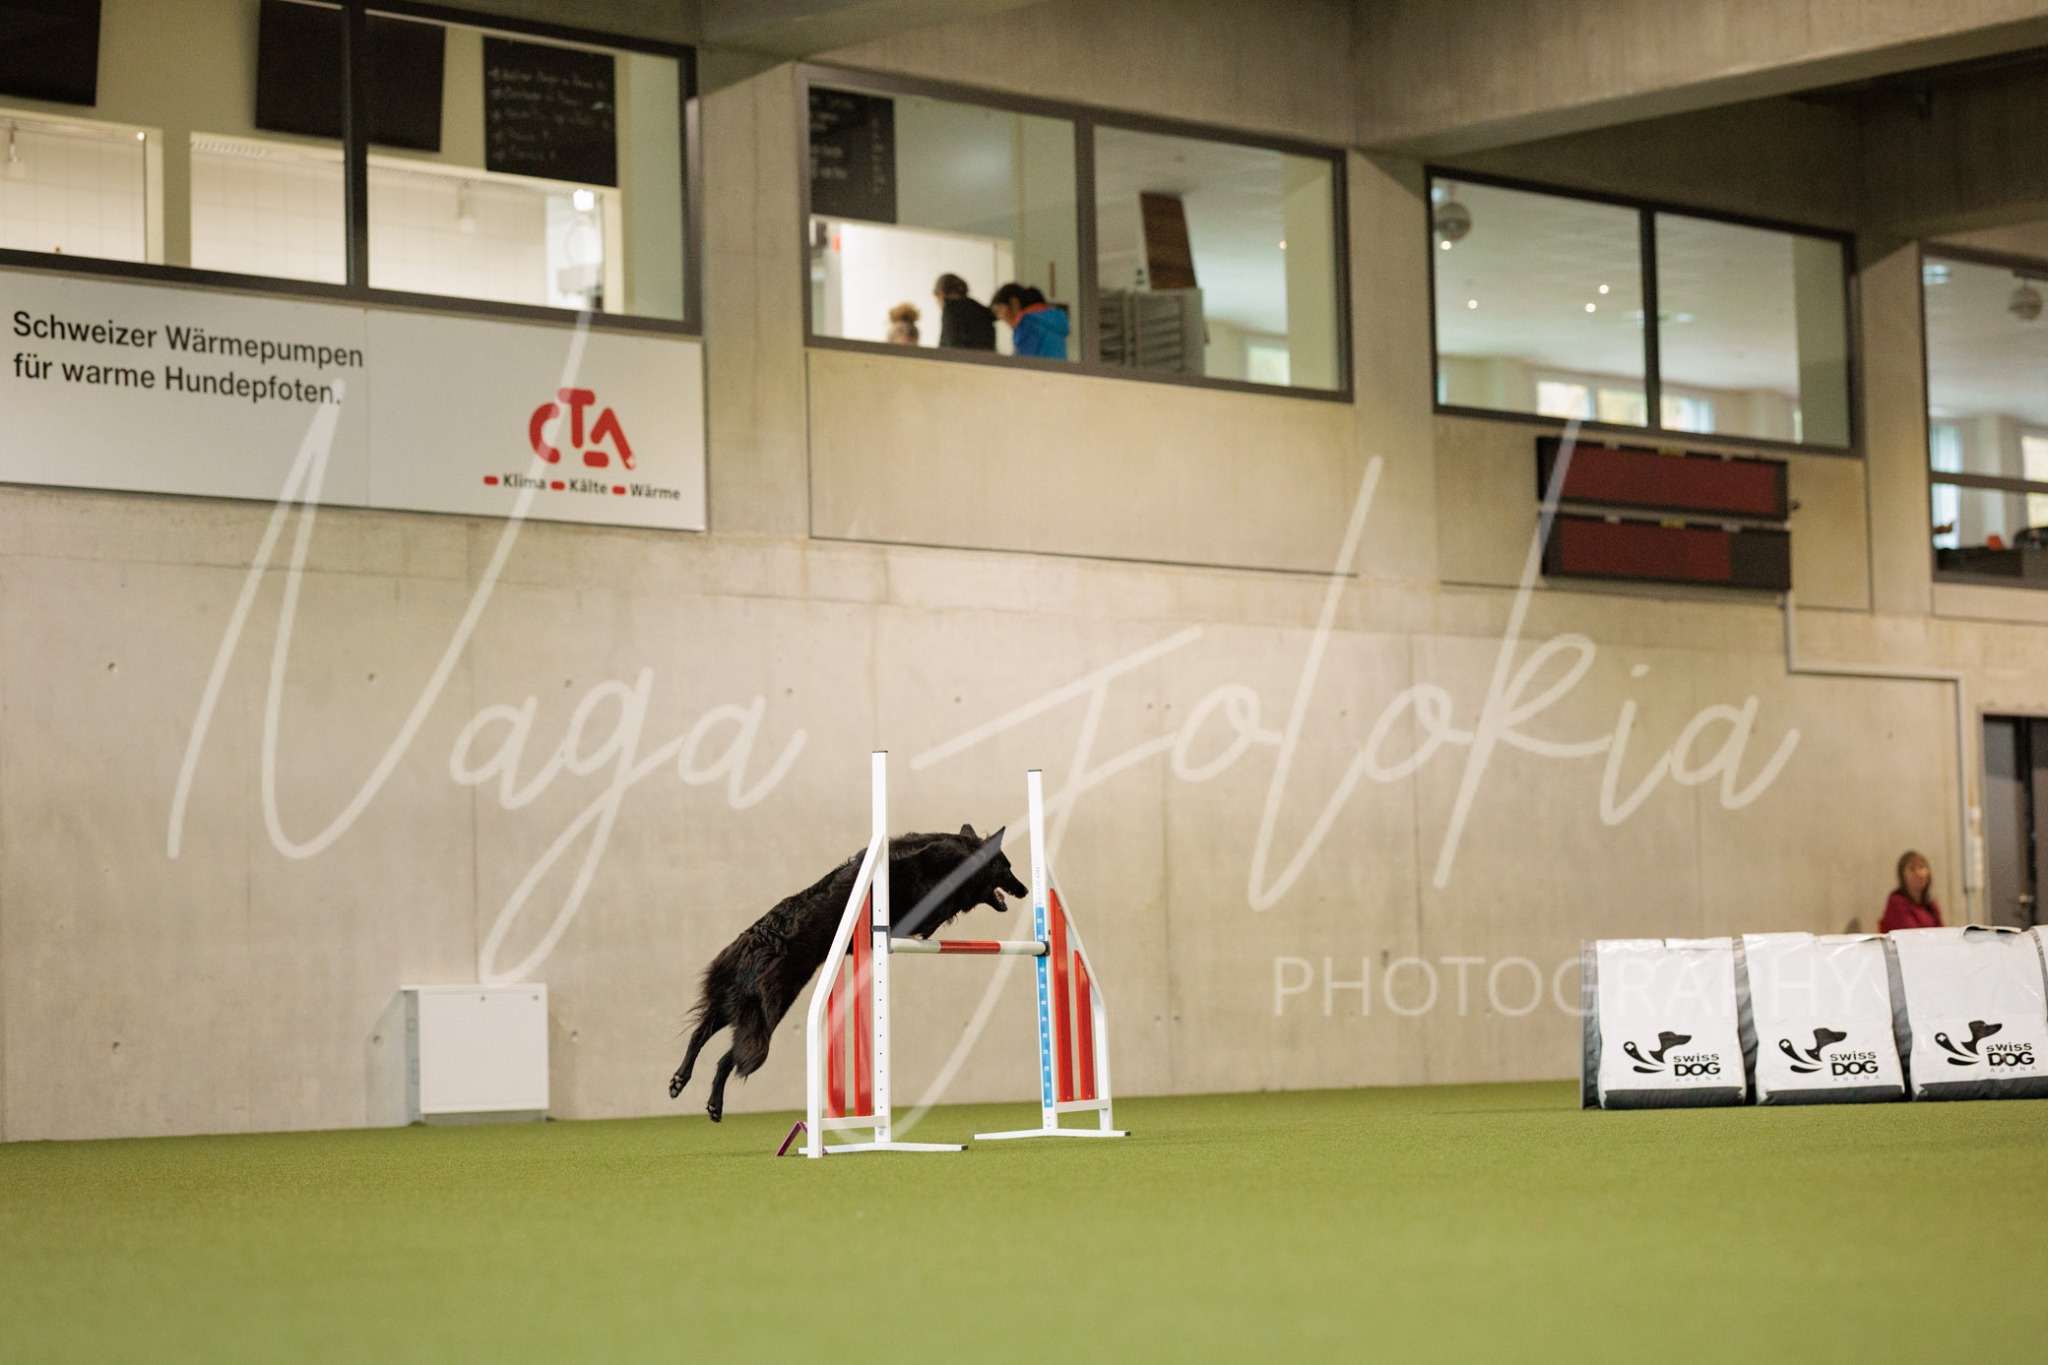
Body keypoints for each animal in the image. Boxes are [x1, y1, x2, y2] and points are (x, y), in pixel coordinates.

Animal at [669, 825, 1028, 1121]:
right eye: (1008, 868)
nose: (1025, 890)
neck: (962, 856)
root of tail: (762, 936)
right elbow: (938, 913)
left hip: (737, 1001)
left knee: (701, 1034)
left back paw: (680, 1081)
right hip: (770, 1007)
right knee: (730, 1055)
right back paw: (711, 1102)